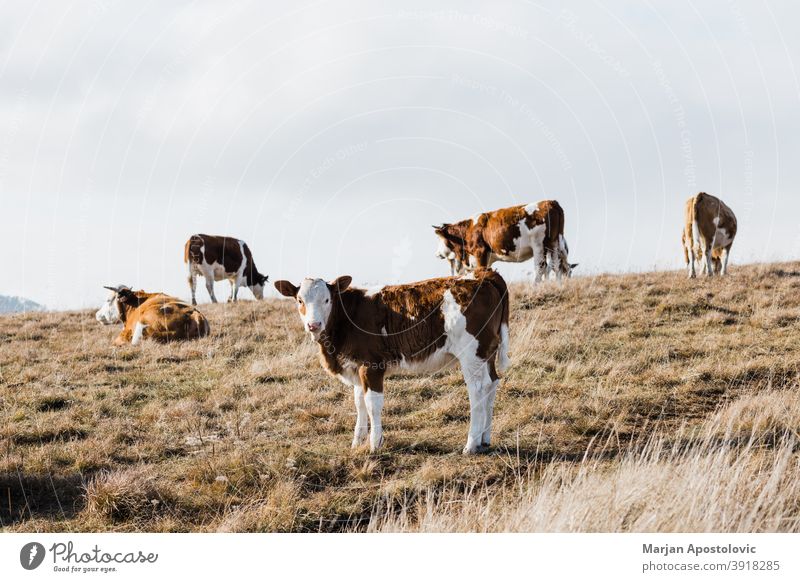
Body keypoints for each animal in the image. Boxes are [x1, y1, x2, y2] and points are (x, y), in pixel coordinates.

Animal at [272, 270, 510, 456]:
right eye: (300, 300)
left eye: (327, 300)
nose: (314, 325)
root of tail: (483, 274)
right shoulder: (355, 367)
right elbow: (359, 403)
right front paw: (357, 441)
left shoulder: (371, 366)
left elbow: (372, 403)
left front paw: (375, 444)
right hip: (486, 352)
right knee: (491, 384)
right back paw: (485, 439)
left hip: (471, 352)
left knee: (477, 390)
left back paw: (471, 444)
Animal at [434, 201, 580, 282]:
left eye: (439, 239)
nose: (436, 253)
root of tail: (551, 202)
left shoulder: (480, 252)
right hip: (554, 244)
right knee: (556, 266)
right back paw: (558, 286)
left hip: (539, 245)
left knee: (541, 267)